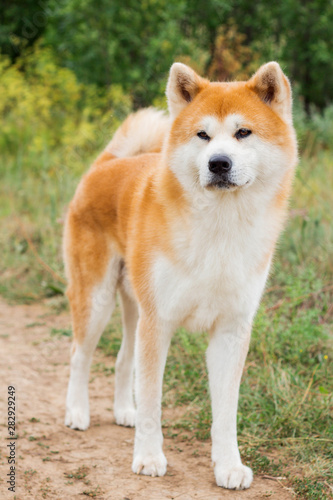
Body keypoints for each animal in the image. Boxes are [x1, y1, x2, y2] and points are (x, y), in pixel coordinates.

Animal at [63, 61, 296, 488]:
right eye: (202, 135)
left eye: (243, 132)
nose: (218, 163)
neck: (220, 228)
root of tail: (106, 164)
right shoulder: (160, 323)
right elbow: (153, 403)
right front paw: (149, 457)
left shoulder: (230, 331)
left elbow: (226, 413)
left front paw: (228, 465)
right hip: (97, 300)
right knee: (79, 356)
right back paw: (77, 412)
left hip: (134, 308)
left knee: (122, 360)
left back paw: (123, 411)